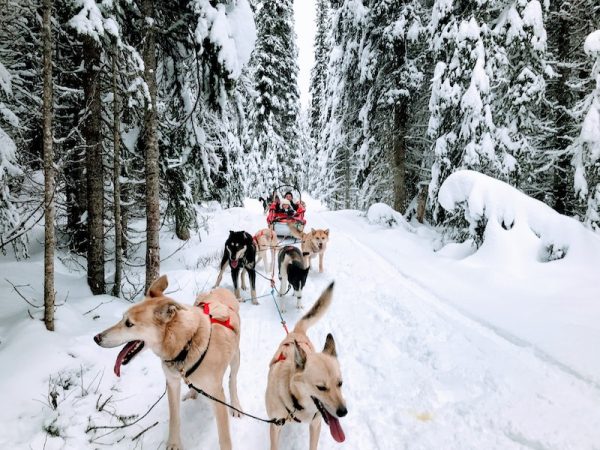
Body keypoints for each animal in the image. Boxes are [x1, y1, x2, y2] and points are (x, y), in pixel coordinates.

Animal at [94, 274, 241, 450]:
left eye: (129, 324)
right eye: (122, 318)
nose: (96, 338)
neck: (186, 344)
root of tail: (220, 290)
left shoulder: (216, 394)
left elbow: (224, 437)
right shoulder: (172, 383)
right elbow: (174, 418)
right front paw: (174, 444)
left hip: (235, 358)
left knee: (233, 380)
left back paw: (236, 405)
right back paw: (193, 392)